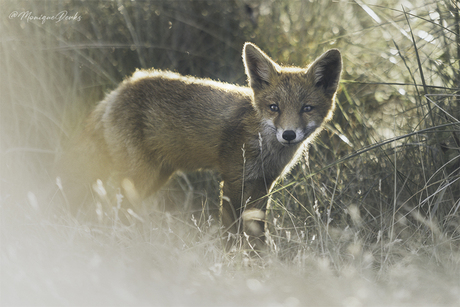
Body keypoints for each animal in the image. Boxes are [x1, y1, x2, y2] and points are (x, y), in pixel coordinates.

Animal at [61, 42, 342, 250]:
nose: (289, 134)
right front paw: (232, 260)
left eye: (306, 108)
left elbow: (257, 234)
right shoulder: (232, 181)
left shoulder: (263, 185)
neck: (263, 146)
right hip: (140, 177)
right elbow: (231, 233)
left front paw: (259, 261)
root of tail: (120, 89)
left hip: (156, 177)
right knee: (110, 209)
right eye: (274, 108)